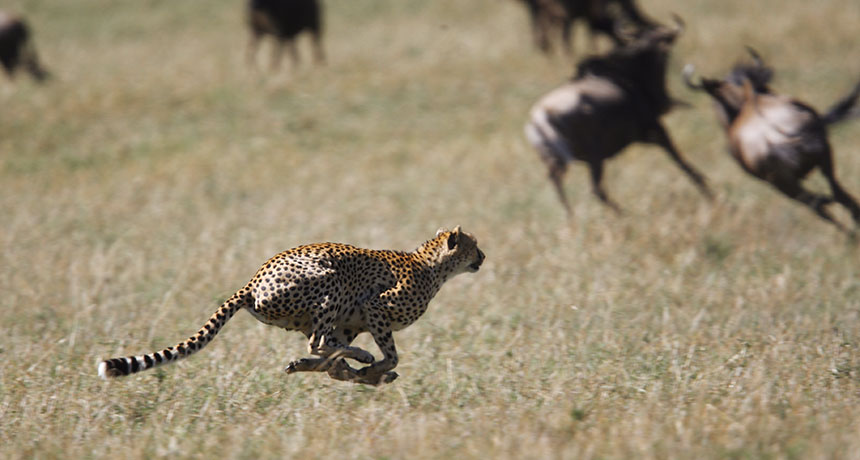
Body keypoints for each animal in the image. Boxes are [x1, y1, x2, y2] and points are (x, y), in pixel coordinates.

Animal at [97, 226, 485, 385]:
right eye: (474, 245)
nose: (483, 257)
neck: (430, 265)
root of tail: (252, 281)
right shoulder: (374, 305)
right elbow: (390, 355)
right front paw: (373, 368)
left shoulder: (353, 323)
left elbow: (339, 358)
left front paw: (367, 374)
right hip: (331, 280)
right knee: (319, 343)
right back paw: (359, 360)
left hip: (309, 313)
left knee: (324, 350)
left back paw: (320, 366)